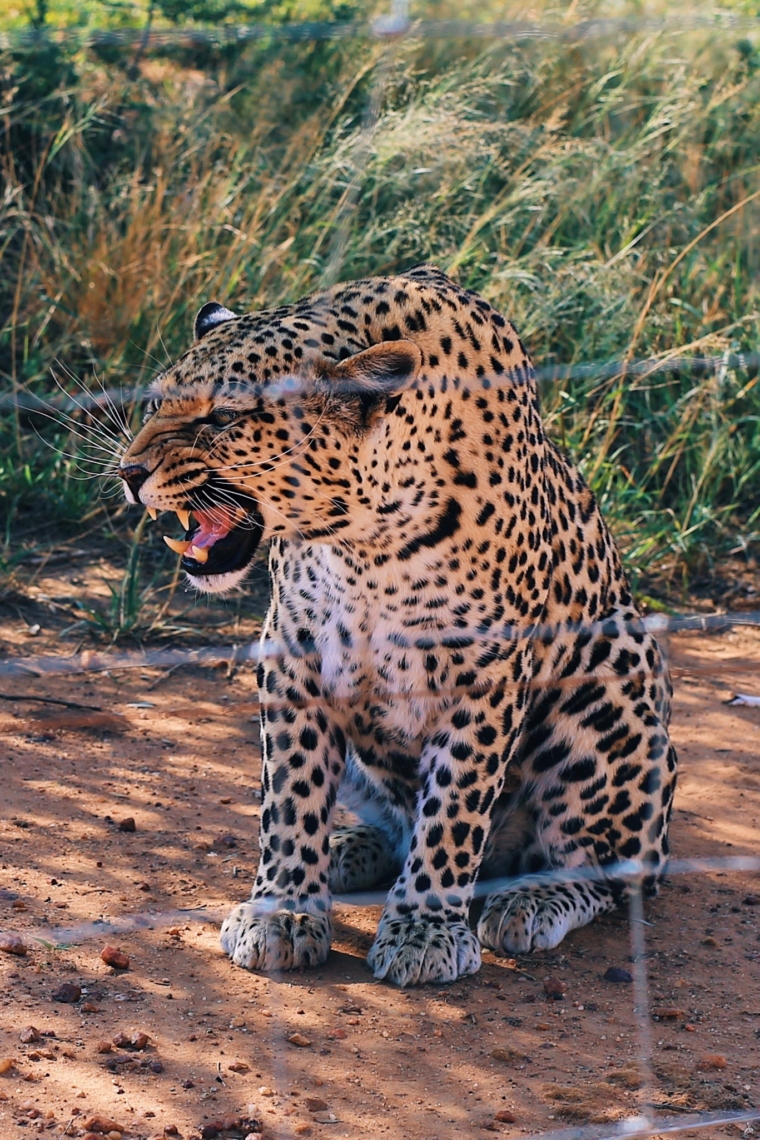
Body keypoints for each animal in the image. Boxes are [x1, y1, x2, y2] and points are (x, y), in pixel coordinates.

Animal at [117, 262, 679, 984]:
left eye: (224, 418)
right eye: (155, 404)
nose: (129, 472)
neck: (367, 542)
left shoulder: (484, 680)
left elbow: (454, 811)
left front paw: (424, 932)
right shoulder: (296, 655)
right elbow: (291, 795)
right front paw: (282, 910)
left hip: (613, 695)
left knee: (615, 872)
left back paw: (527, 902)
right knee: (394, 824)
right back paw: (344, 850)